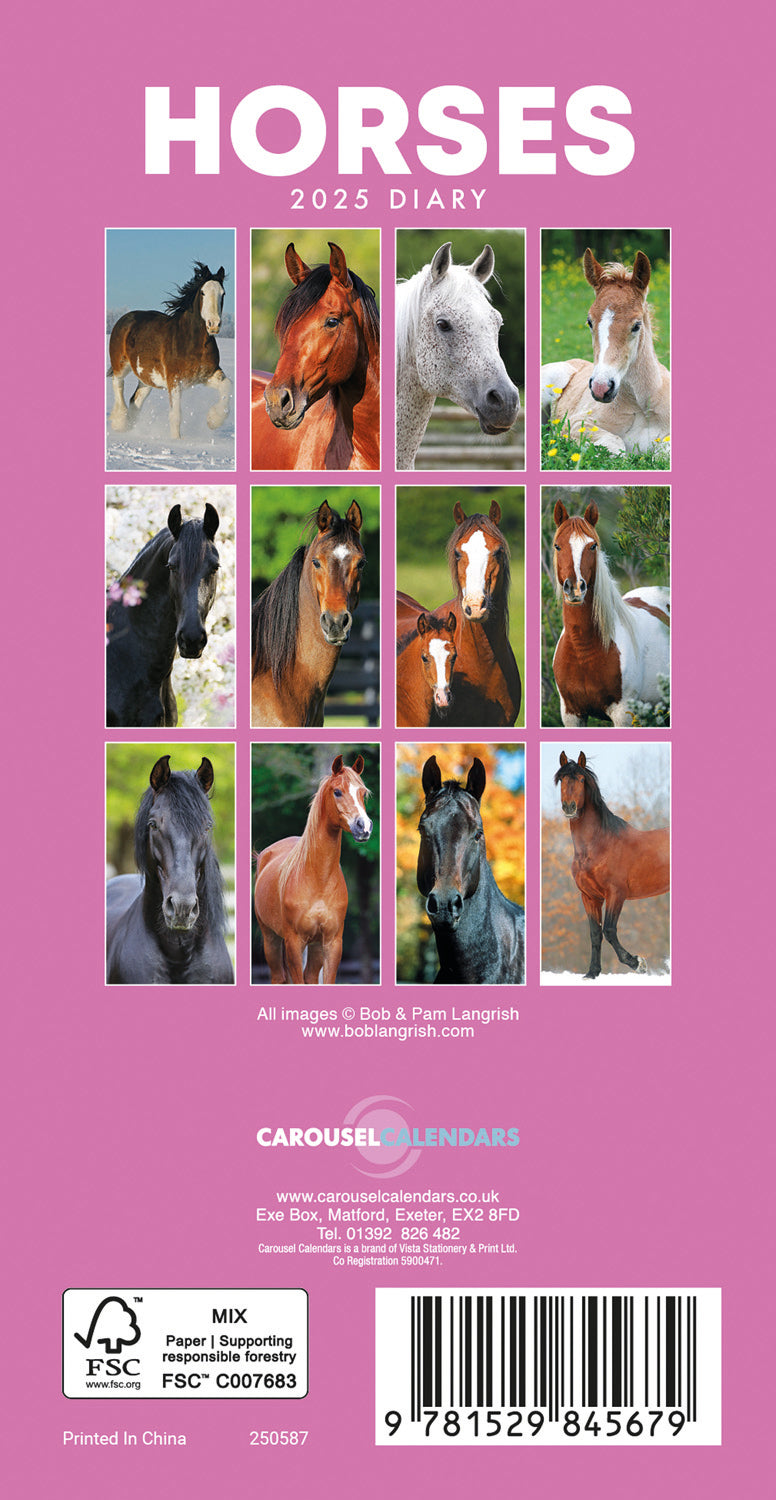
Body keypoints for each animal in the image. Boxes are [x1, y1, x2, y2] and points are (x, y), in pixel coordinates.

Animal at [108, 263, 231, 440]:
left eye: (223, 293)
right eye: (203, 292)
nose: (213, 324)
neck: (191, 343)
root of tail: (124, 319)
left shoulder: (208, 375)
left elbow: (228, 386)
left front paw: (213, 420)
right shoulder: (175, 380)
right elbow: (176, 415)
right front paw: (176, 441)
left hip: (147, 378)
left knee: (135, 400)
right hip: (121, 364)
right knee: (118, 384)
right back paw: (120, 423)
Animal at [254, 755, 372, 985]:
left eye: (363, 793)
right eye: (337, 791)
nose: (363, 827)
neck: (319, 880)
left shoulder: (332, 943)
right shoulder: (294, 942)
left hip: (314, 947)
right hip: (270, 938)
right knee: (278, 977)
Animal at [541, 250, 670, 456]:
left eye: (636, 325)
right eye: (589, 321)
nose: (601, 388)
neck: (641, 406)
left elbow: (663, 453)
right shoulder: (578, 424)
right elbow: (617, 446)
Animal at [551, 500, 670, 726]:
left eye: (592, 546)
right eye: (557, 546)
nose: (575, 588)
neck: (583, 648)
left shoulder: (623, 715)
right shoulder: (571, 715)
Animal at [554, 751, 670, 980]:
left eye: (581, 779)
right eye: (562, 779)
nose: (569, 807)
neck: (599, 845)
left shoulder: (616, 893)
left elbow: (608, 930)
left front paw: (638, 963)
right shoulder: (590, 897)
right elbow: (595, 933)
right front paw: (592, 973)